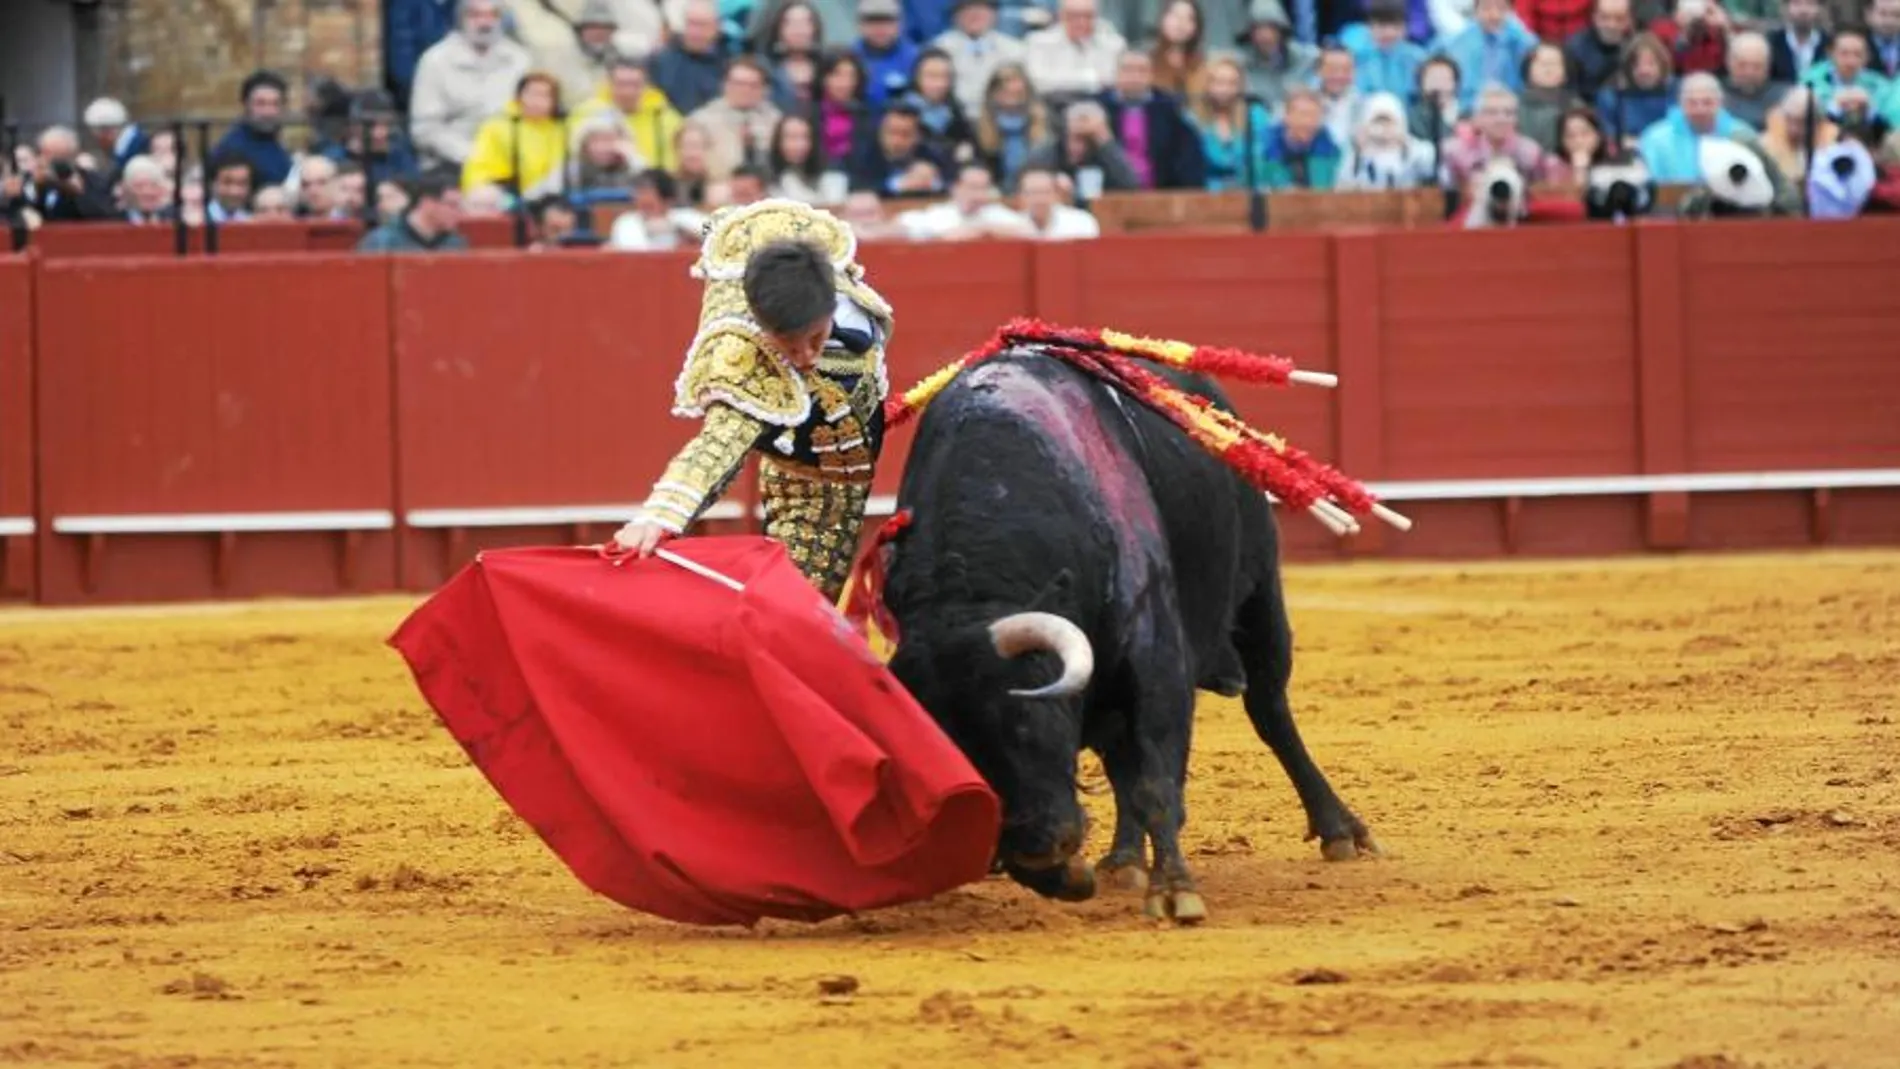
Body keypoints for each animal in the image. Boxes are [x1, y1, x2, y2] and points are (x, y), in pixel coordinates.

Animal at [881, 347, 1375, 922]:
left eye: (1029, 718)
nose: (1035, 844)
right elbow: (1127, 775)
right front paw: (1071, 875)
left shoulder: (1157, 661)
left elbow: (1158, 777)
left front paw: (1175, 890)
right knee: (1123, 760)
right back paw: (1124, 859)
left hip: (1260, 596)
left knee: (1270, 711)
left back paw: (1339, 831)